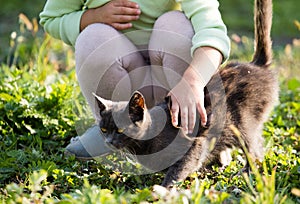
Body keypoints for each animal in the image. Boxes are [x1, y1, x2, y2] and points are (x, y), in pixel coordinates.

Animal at [94, 0, 278, 187]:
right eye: (103, 129)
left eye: (121, 130)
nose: (108, 141)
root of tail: (255, 65)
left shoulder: (193, 143)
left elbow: (179, 168)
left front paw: (165, 187)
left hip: (244, 122)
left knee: (254, 148)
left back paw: (247, 172)